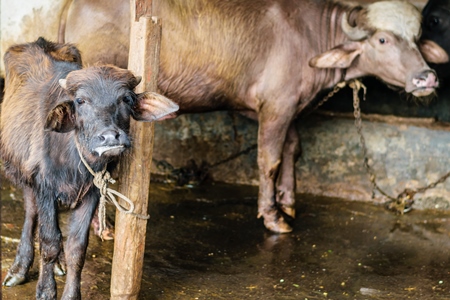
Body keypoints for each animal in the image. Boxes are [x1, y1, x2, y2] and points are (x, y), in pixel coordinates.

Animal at [0, 38, 179, 300]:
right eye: (81, 101)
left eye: (126, 99)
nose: (110, 137)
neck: (75, 160)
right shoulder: (44, 186)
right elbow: (49, 241)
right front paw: (45, 290)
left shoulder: (92, 193)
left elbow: (77, 247)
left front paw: (71, 292)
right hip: (23, 175)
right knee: (32, 215)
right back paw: (19, 269)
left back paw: (58, 265)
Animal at [60, 0, 440, 233]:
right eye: (383, 39)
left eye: (417, 38)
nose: (427, 78)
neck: (312, 36)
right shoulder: (276, 107)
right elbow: (269, 159)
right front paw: (273, 216)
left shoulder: (284, 109)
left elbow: (293, 149)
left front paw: (288, 201)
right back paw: (102, 226)